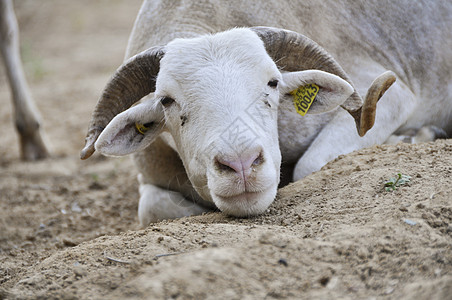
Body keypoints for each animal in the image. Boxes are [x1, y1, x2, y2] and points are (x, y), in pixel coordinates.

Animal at [79, 0, 450, 225]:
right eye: (167, 101)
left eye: (272, 83)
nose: (241, 165)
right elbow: (151, 208)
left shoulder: (392, 94)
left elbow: (311, 165)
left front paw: (411, 138)